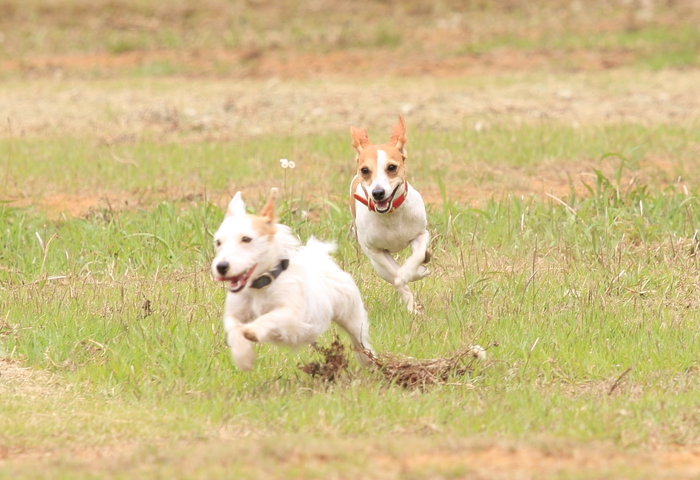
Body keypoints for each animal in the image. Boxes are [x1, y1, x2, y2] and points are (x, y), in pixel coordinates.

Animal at [213, 188, 374, 372]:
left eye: (246, 239)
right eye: (218, 242)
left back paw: (369, 361)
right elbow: (233, 328)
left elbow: (271, 317)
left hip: (352, 316)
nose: (221, 266)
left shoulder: (292, 315)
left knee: (360, 340)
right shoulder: (234, 313)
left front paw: (253, 330)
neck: (260, 286)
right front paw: (243, 358)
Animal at [348, 114, 430, 314]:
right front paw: (407, 275)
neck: (391, 215)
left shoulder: (420, 235)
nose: (378, 192)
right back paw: (411, 307)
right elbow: (396, 273)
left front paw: (413, 270)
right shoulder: (376, 251)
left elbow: (417, 256)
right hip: (375, 261)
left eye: (392, 167)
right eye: (365, 170)